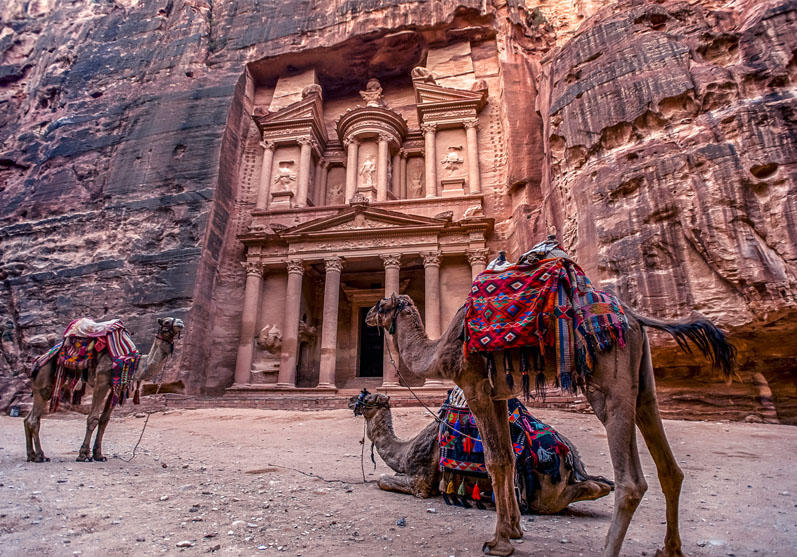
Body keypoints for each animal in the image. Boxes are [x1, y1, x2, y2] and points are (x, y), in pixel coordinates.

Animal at [23, 314, 183, 462]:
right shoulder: (102, 381)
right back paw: (40, 456)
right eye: (166, 322)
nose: (180, 323)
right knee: (34, 419)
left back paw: (31, 455)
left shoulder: (115, 387)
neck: (129, 361)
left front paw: (99, 455)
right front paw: (84, 455)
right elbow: (93, 418)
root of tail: (37, 361)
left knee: (28, 419)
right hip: (44, 377)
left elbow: (104, 420)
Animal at [346, 386, 612, 512]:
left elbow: (383, 479)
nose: (350, 400)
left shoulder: (420, 481)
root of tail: (569, 456)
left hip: (545, 490)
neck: (405, 449)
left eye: (368, 398)